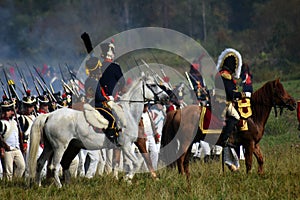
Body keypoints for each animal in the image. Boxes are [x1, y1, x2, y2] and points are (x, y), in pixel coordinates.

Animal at [28, 76, 169, 188]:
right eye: (153, 85)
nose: (166, 97)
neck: (128, 113)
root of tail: (50, 115)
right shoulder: (126, 145)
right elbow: (137, 162)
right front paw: (127, 178)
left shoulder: (125, 146)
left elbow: (130, 163)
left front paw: (127, 179)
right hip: (59, 147)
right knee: (54, 166)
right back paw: (59, 186)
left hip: (50, 146)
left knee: (40, 162)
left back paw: (38, 185)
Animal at [161, 79, 296, 177]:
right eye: (280, 91)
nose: (294, 103)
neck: (253, 115)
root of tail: (177, 112)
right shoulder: (249, 143)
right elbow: (249, 163)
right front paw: (249, 177)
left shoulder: (254, 143)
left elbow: (261, 159)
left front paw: (260, 174)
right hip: (186, 142)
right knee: (180, 159)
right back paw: (183, 177)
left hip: (190, 143)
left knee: (185, 161)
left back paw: (187, 177)